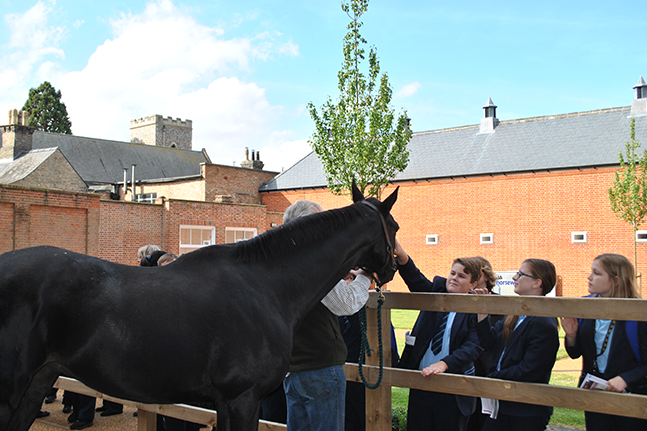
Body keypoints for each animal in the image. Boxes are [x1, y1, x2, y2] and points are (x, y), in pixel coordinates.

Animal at [0, 185, 400, 431]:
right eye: (394, 227)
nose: (393, 268)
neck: (266, 284)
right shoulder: (242, 399)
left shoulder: (227, 403)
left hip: (37, 382)